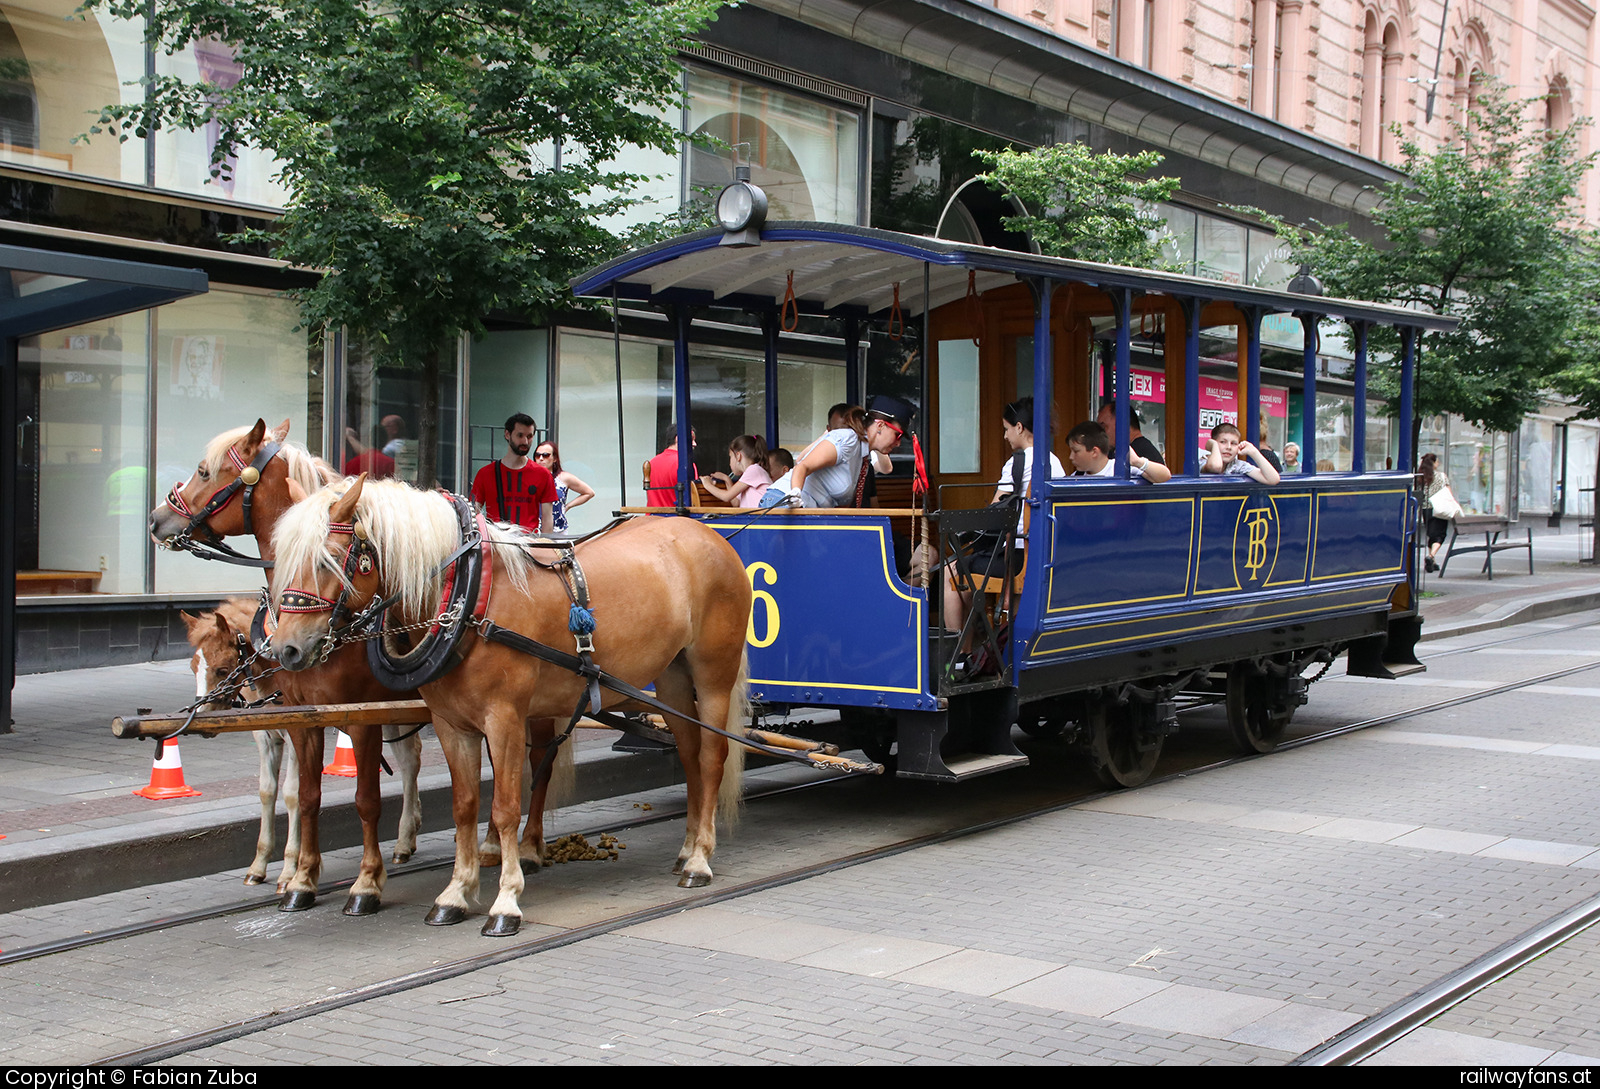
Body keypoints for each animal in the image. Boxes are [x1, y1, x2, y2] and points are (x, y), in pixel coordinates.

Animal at [149, 418, 425, 914]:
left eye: (203, 471)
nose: (157, 518)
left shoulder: (362, 718)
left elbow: (364, 798)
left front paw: (364, 883)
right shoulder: (299, 718)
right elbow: (304, 795)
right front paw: (299, 878)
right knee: (413, 760)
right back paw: (406, 840)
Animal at [267, 476, 748, 933]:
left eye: (329, 559)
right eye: (282, 559)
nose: (286, 650)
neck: (468, 596)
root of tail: (710, 536)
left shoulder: (504, 720)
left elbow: (504, 807)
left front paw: (506, 901)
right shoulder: (451, 724)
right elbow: (464, 806)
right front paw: (456, 893)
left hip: (712, 675)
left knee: (712, 756)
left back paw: (701, 858)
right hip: (671, 678)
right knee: (689, 754)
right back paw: (687, 848)